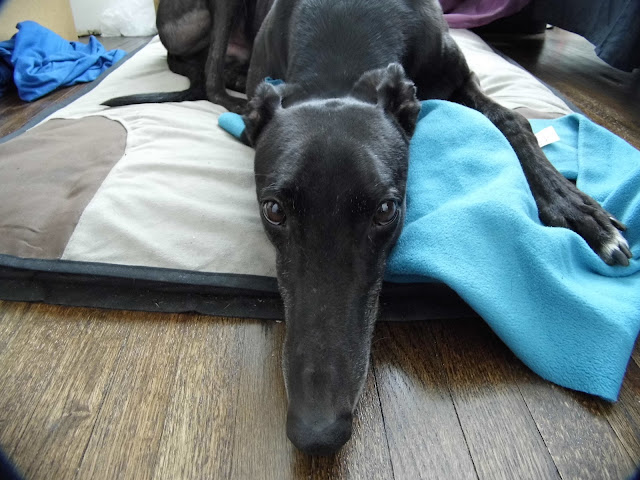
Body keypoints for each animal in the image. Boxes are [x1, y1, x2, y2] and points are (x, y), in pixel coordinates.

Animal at [241, 0, 632, 455]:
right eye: (273, 210)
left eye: (386, 210)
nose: (318, 431)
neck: (342, 36)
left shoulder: (459, 78)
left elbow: (514, 122)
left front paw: (576, 211)